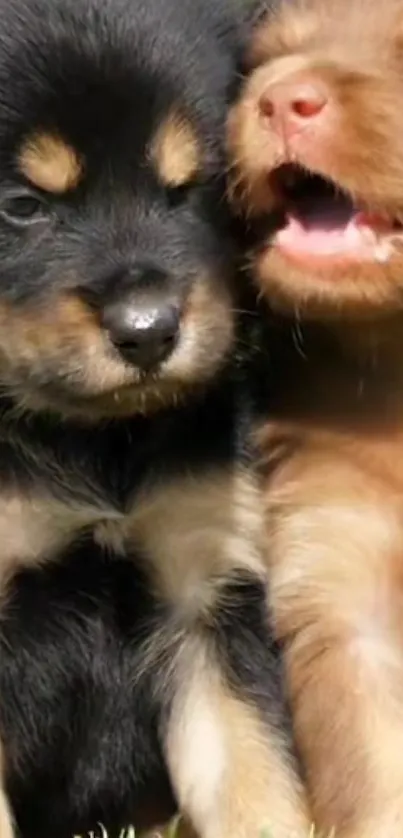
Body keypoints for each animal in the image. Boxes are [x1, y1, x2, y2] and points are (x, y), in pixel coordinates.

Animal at [0, 1, 310, 838]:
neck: (90, 441)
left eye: (190, 184)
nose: (148, 332)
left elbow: (260, 789)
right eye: (19, 204)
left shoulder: (203, 588)